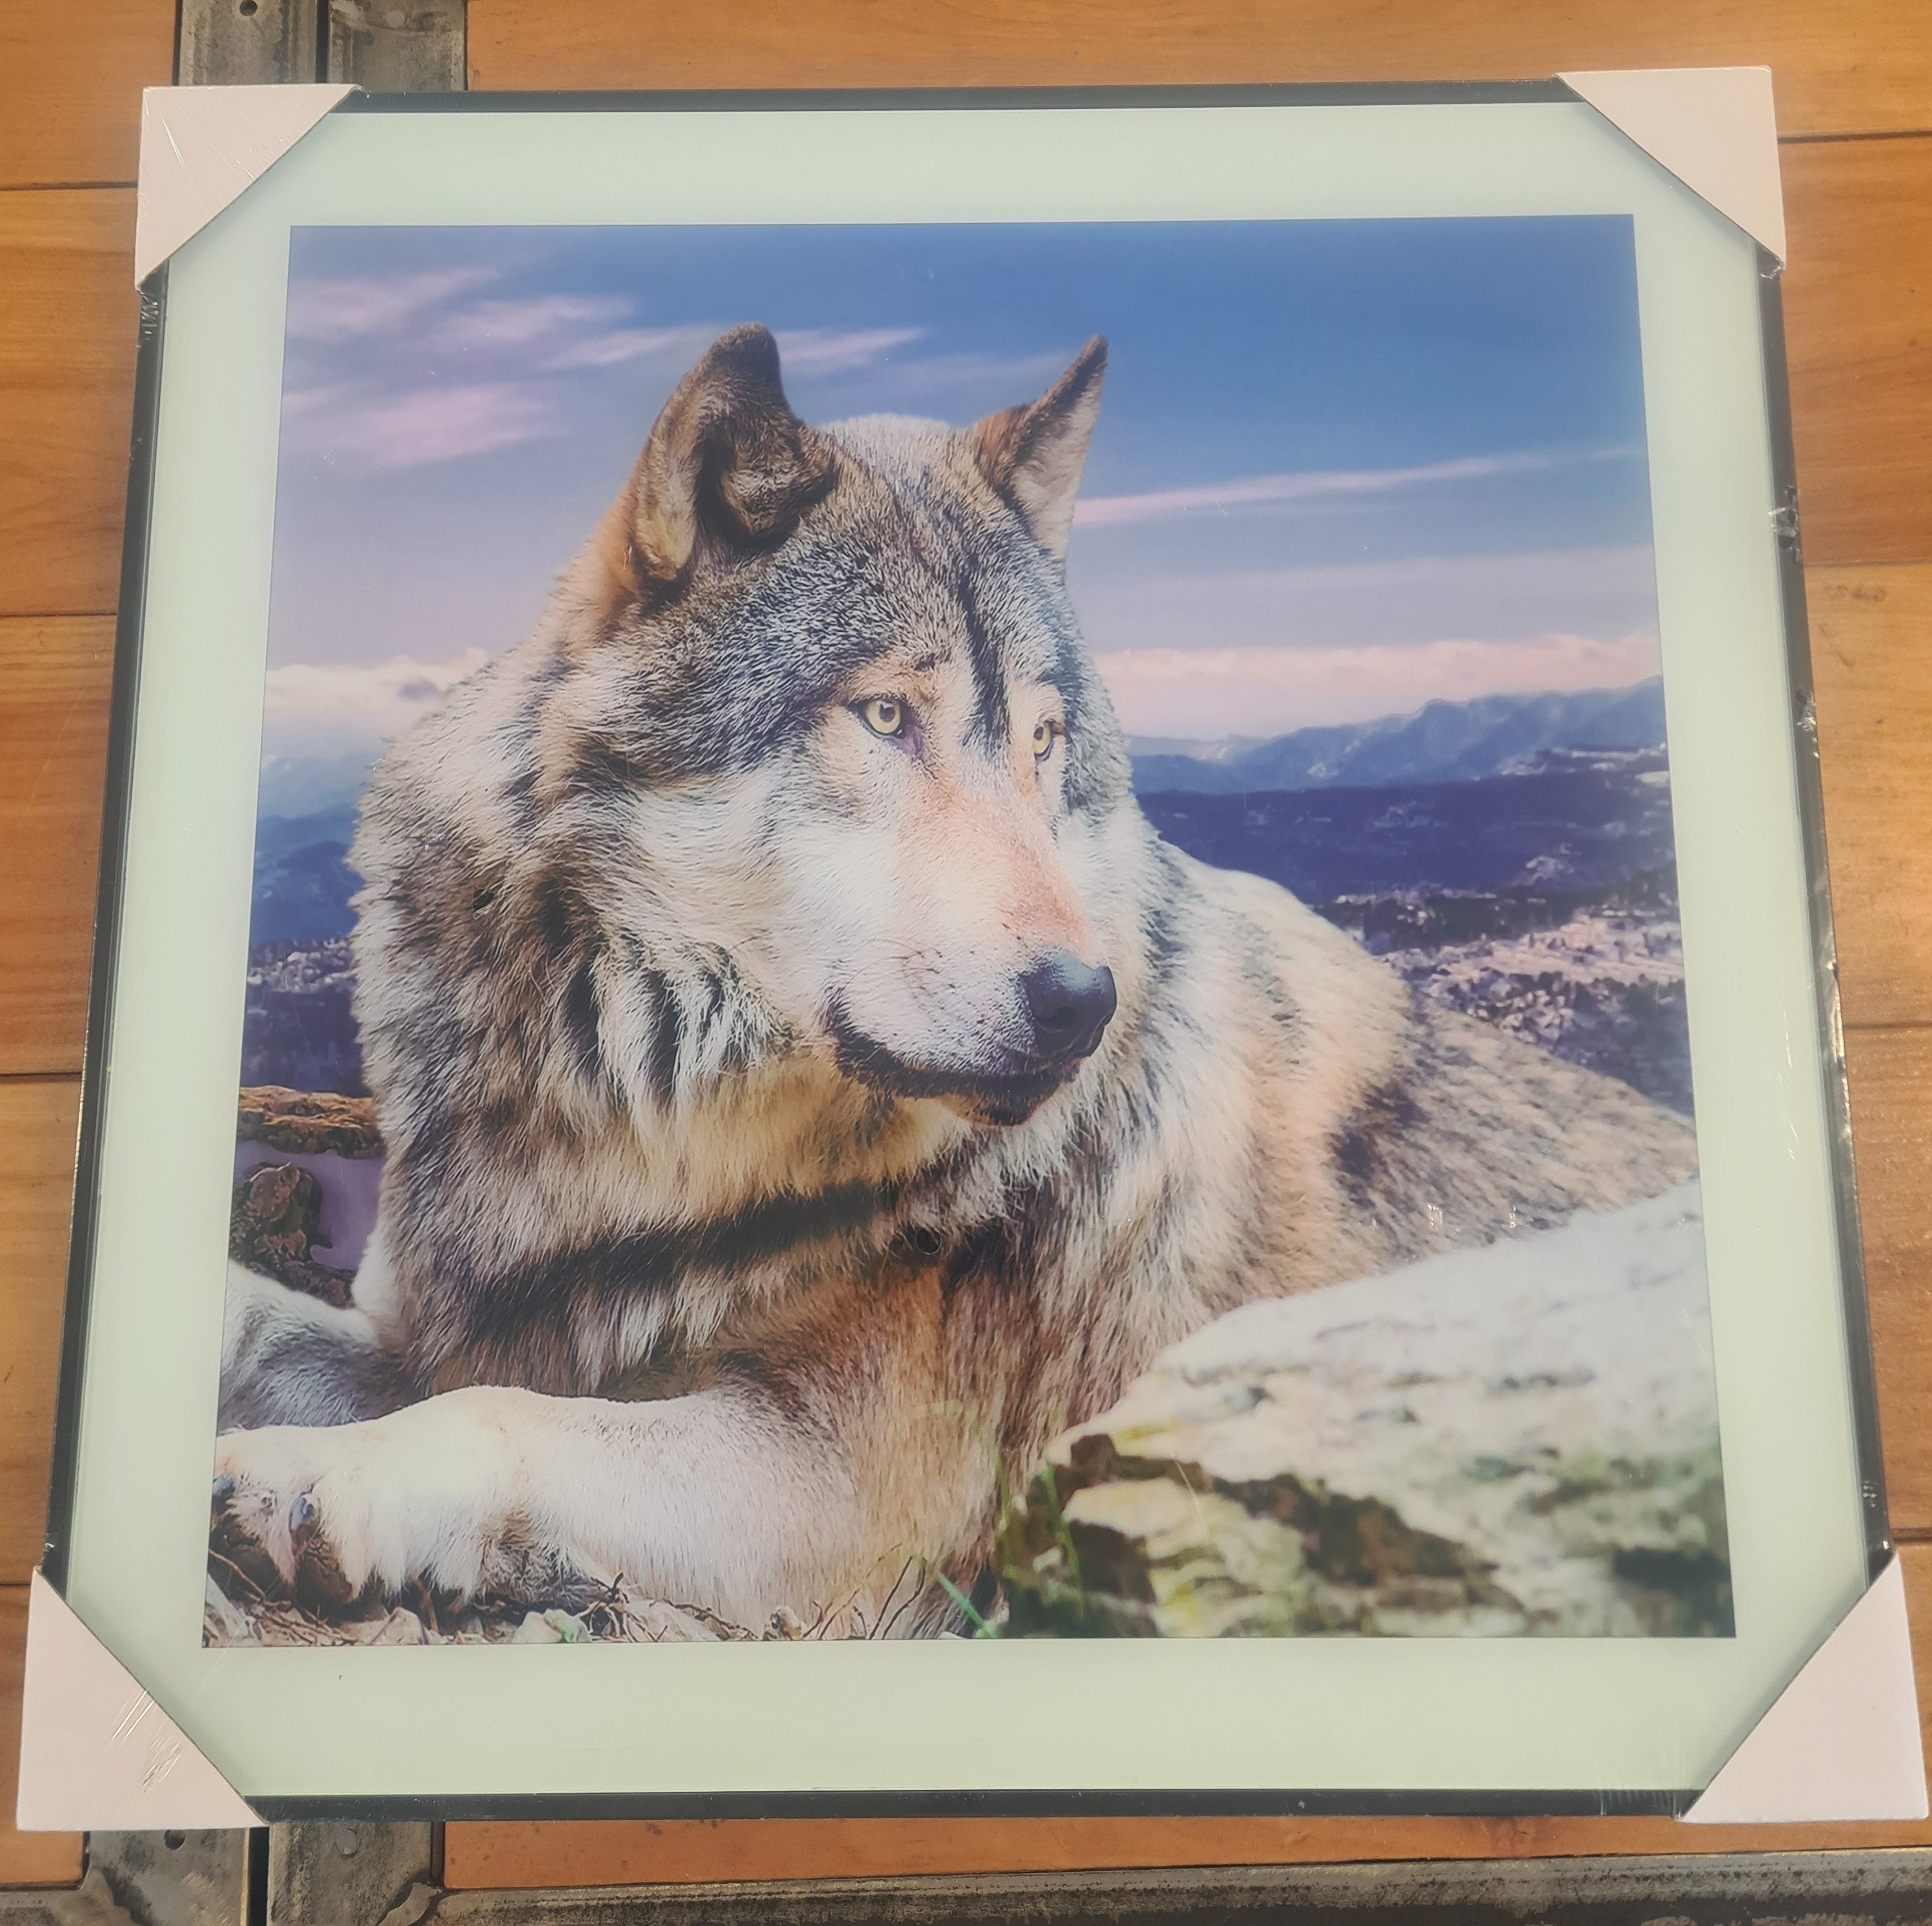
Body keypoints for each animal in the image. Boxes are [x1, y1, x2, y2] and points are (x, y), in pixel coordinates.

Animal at [212, 324, 1697, 1634]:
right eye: (885, 716)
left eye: (1044, 743)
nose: (1083, 1002)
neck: (636, 1135)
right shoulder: (428, 1326)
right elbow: (278, 1326)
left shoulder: (838, 1499)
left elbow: (503, 1413)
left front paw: (321, 1479)